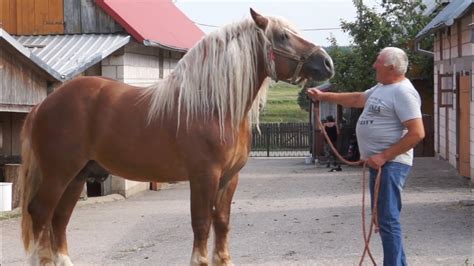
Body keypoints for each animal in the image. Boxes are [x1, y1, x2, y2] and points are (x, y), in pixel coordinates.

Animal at [19, 8, 334, 266]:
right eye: (282, 36)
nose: (327, 63)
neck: (214, 107)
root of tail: (44, 105)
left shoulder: (230, 178)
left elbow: (222, 222)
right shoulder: (204, 176)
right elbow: (202, 223)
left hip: (78, 175)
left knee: (59, 217)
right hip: (59, 173)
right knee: (41, 212)